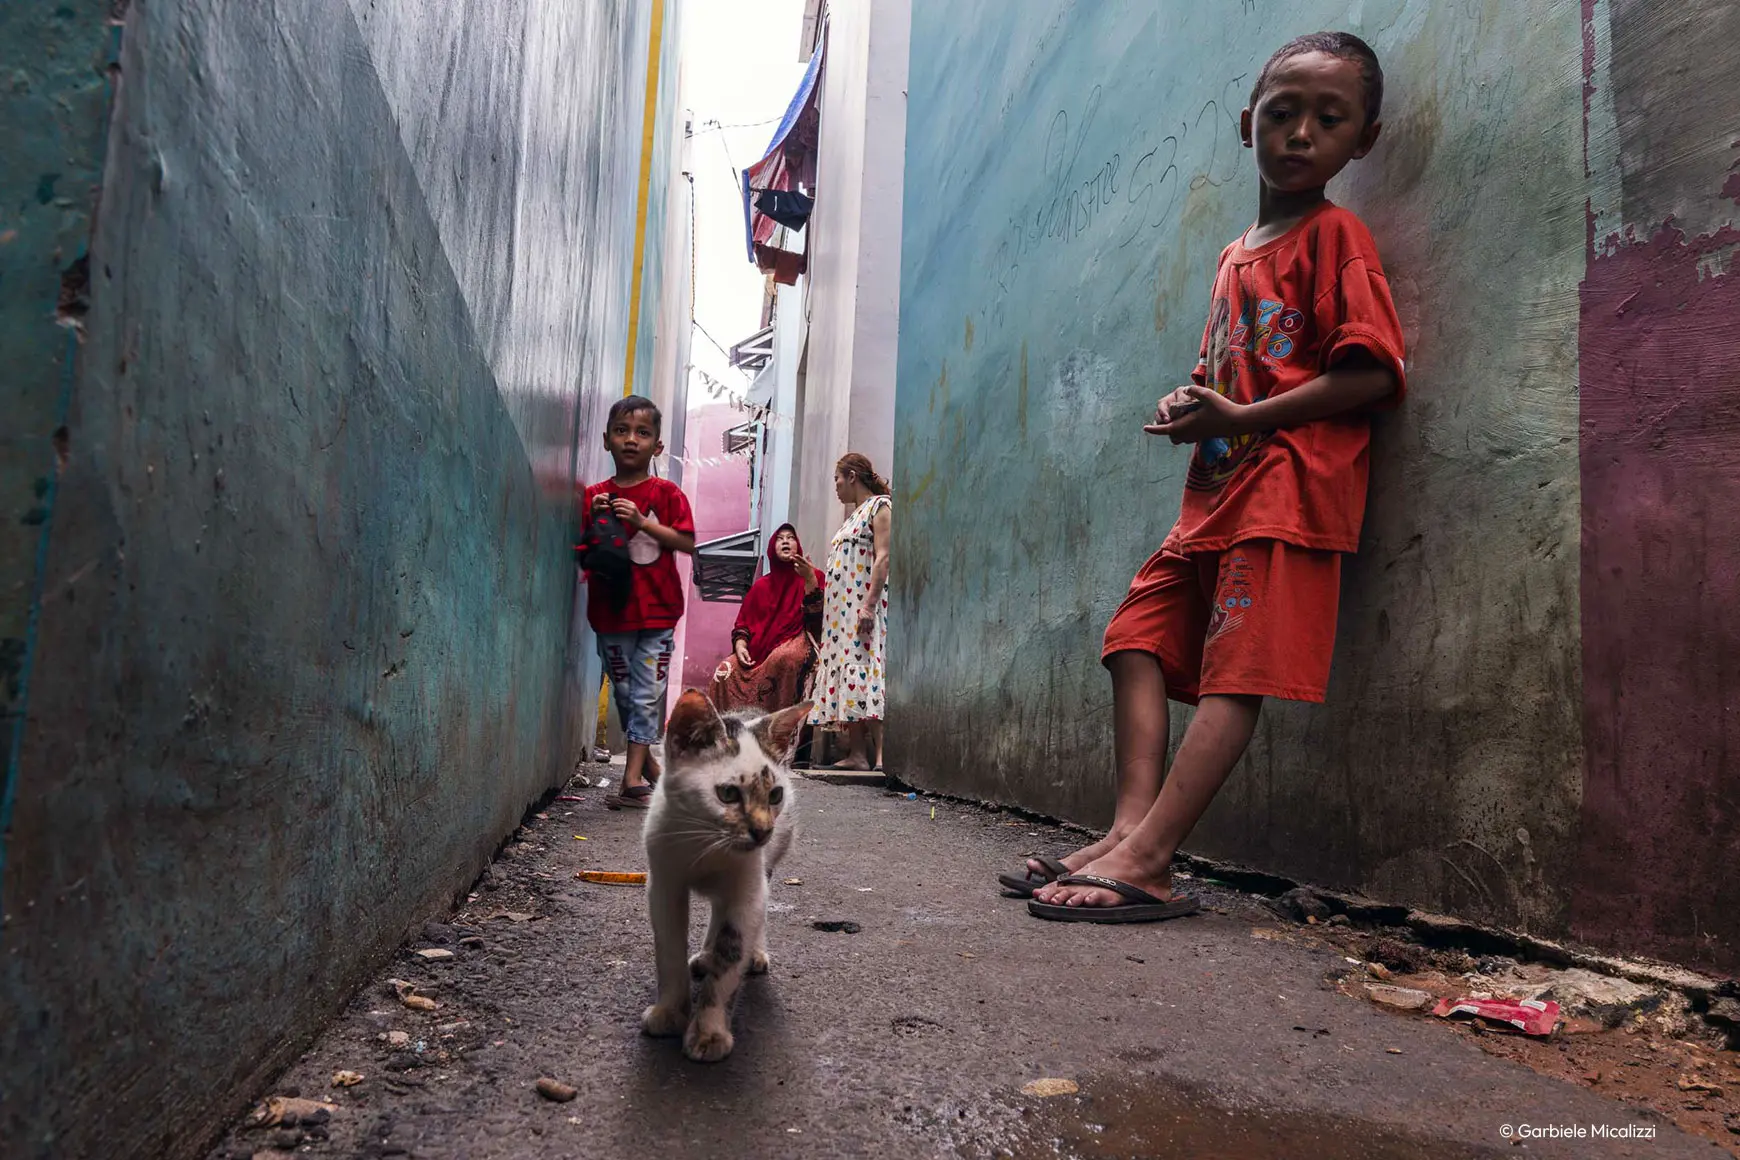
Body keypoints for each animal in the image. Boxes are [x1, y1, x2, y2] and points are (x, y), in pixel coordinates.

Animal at [640, 688, 807, 1064]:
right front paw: (669, 1012)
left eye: (775, 795)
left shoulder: (748, 888)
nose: (762, 831)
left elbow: (731, 953)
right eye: (728, 794)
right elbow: (668, 949)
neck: (706, 846)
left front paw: (709, 1030)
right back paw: (705, 955)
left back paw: (752, 954)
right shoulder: (663, 884)